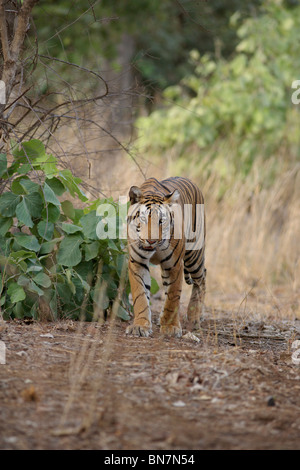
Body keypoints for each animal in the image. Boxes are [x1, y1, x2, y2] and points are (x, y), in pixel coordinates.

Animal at [125, 177, 205, 338]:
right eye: (143, 219)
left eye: (161, 221)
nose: (151, 241)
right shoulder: (137, 262)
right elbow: (140, 295)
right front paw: (140, 325)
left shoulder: (174, 265)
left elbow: (172, 297)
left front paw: (170, 327)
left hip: (194, 255)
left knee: (202, 279)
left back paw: (194, 317)